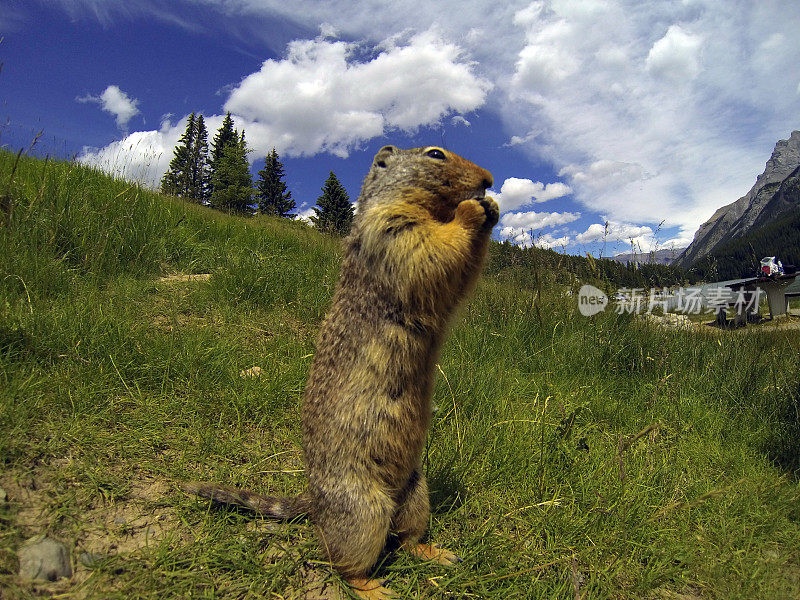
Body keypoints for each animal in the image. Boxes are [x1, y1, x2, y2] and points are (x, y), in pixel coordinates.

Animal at [184, 145, 496, 600]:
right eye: (436, 153)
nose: (489, 180)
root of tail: (313, 500)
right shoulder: (390, 230)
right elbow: (431, 248)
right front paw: (473, 210)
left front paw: (492, 207)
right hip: (363, 512)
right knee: (342, 563)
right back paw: (374, 588)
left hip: (416, 492)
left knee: (406, 539)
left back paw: (437, 554)